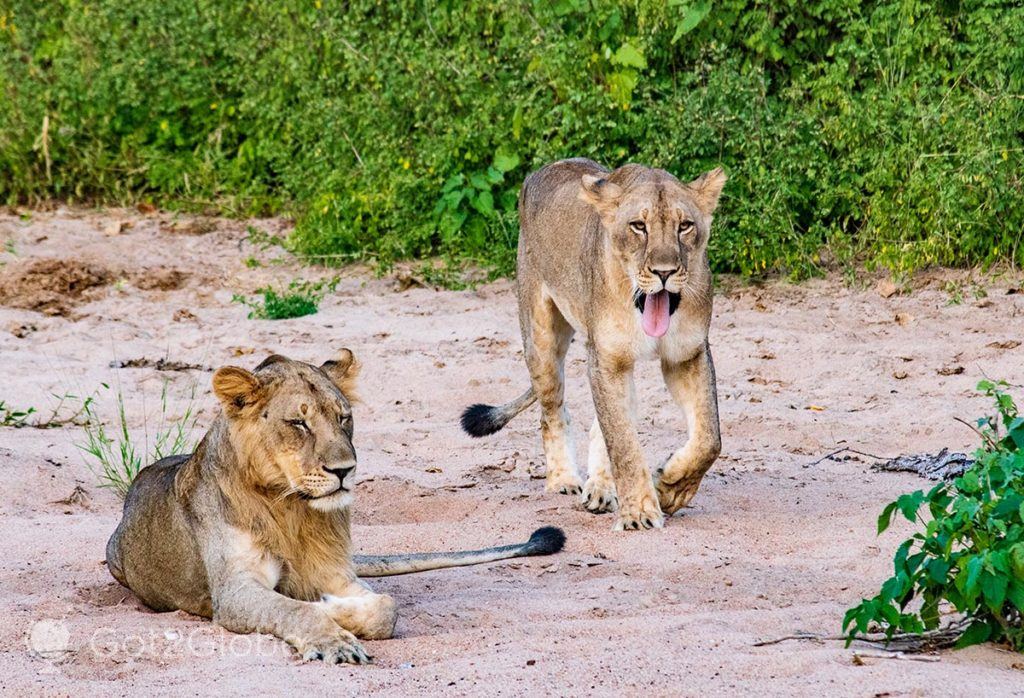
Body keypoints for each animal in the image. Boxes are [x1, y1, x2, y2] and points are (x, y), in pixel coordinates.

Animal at [108, 350, 565, 659]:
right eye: (299, 422)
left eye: (343, 417)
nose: (345, 469)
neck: (292, 508)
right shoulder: (233, 592)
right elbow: (294, 610)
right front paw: (332, 634)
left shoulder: (336, 572)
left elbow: (385, 609)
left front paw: (336, 606)